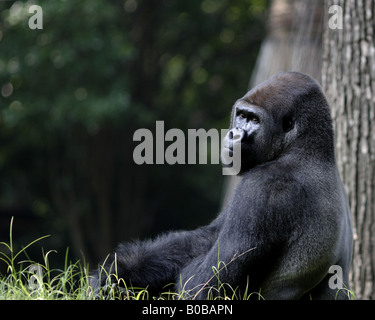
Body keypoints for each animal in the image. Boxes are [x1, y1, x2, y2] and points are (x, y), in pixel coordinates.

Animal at [91, 72, 356, 300]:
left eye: (254, 120)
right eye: (241, 115)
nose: (234, 134)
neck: (305, 149)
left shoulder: (262, 187)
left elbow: (202, 287)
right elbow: (206, 237)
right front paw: (115, 271)